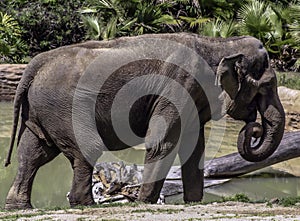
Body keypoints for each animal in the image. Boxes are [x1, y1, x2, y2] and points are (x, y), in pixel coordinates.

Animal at [4, 32, 284, 209]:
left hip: (42, 110)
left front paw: (194, 202)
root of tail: (35, 64)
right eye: (265, 88)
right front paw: (143, 202)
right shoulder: (179, 85)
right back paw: (84, 204)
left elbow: (194, 146)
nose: (254, 128)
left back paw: (19, 206)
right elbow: (162, 142)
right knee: (84, 149)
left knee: (33, 152)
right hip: (64, 108)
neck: (218, 43)